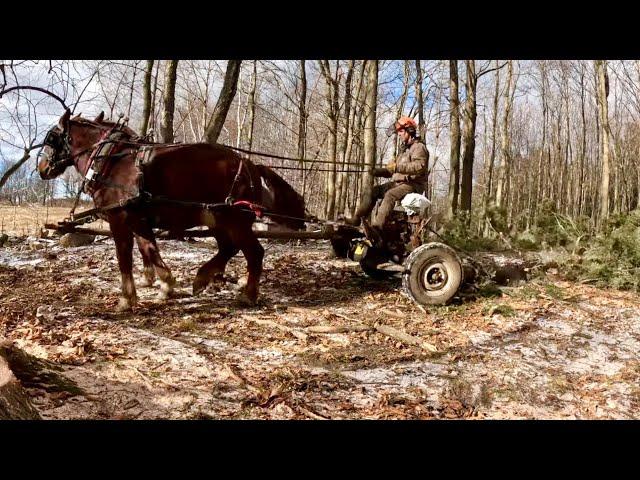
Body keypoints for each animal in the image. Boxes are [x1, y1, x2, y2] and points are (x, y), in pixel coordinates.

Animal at [38, 109, 308, 312]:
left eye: (51, 138)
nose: (41, 167)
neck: (111, 161)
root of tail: (251, 165)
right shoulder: (139, 220)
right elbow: (149, 248)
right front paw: (166, 284)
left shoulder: (120, 219)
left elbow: (124, 258)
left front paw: (127, 299)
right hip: (216, 218)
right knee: (228, 248)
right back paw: (203, 277)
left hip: (233, 220)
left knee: (254, 252)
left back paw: (248, 295)